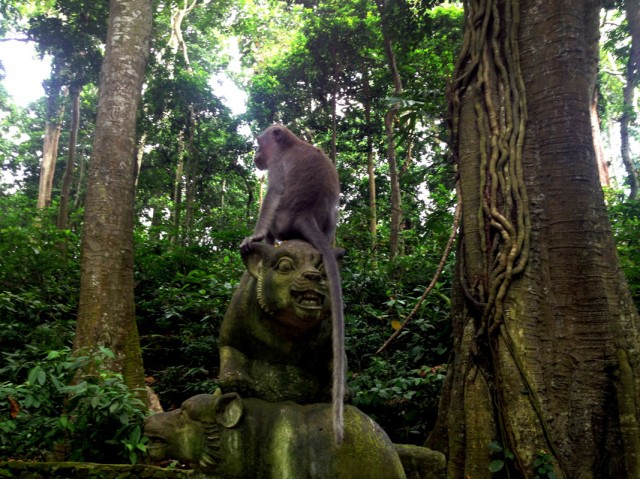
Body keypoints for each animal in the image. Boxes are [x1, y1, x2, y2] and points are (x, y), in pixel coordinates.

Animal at [240, 124, 345, 444]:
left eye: (259, 142)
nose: (255, 153)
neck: (293, 144)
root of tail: (304, 215)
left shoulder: (277, 167)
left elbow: (271, 196)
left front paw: (255, 236)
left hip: (284, 220)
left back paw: (269, 241)